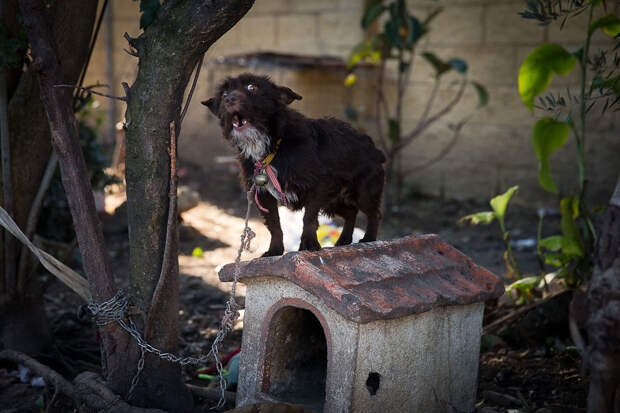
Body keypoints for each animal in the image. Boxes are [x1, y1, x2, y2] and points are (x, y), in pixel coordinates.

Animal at [203, 73, 386, 254]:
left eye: (252, 87)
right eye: (224, 94)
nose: (228, 100)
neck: (272, 145)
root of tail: (375, 148)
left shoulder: (318, 186)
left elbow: (309, 218)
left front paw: (309, 244)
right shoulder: (263, 195)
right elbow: (274, 225)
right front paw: (275, 251)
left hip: (362, 193)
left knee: (374, 214)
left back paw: (369, 238)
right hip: (333, 201)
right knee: (351, 212)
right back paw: (344, 241)